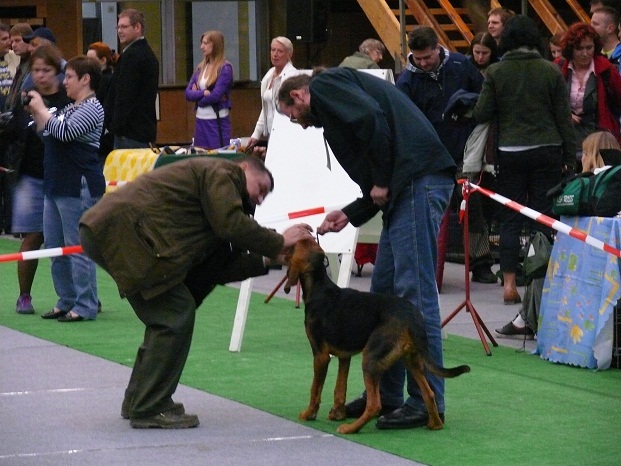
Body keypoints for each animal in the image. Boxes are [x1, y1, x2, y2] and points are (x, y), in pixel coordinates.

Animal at [284, 238, 470, 436]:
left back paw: (351, 428)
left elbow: (315, 389)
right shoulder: (344, 356)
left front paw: (309, 414)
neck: (319, 287)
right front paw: (337, 413)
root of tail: (412, 316)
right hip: (411, 360)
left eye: (293, 247)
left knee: (374, 405)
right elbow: (339, 389)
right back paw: (434, 424)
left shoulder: (320, 355)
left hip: (371, 358)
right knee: (429, 393)